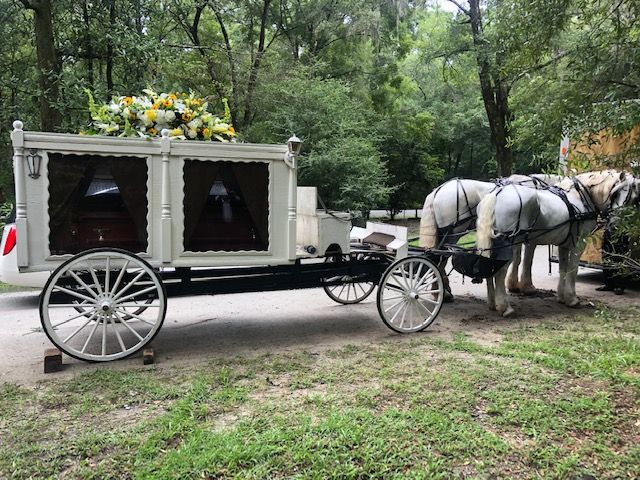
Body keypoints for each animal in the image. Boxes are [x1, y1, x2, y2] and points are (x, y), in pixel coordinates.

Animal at [476, 170, 638, 317]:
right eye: (616, 193)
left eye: (632, 197)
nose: (615, 224)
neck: (580, 197)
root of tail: (497, 194)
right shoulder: (579, 244)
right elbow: (573, 269)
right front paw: (572, 299)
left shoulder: (564, 244)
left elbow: (563, 269)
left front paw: (562, 297)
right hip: (510, 244)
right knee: (500, 272)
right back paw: (505, 307)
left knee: (490, 267)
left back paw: (492, 303)